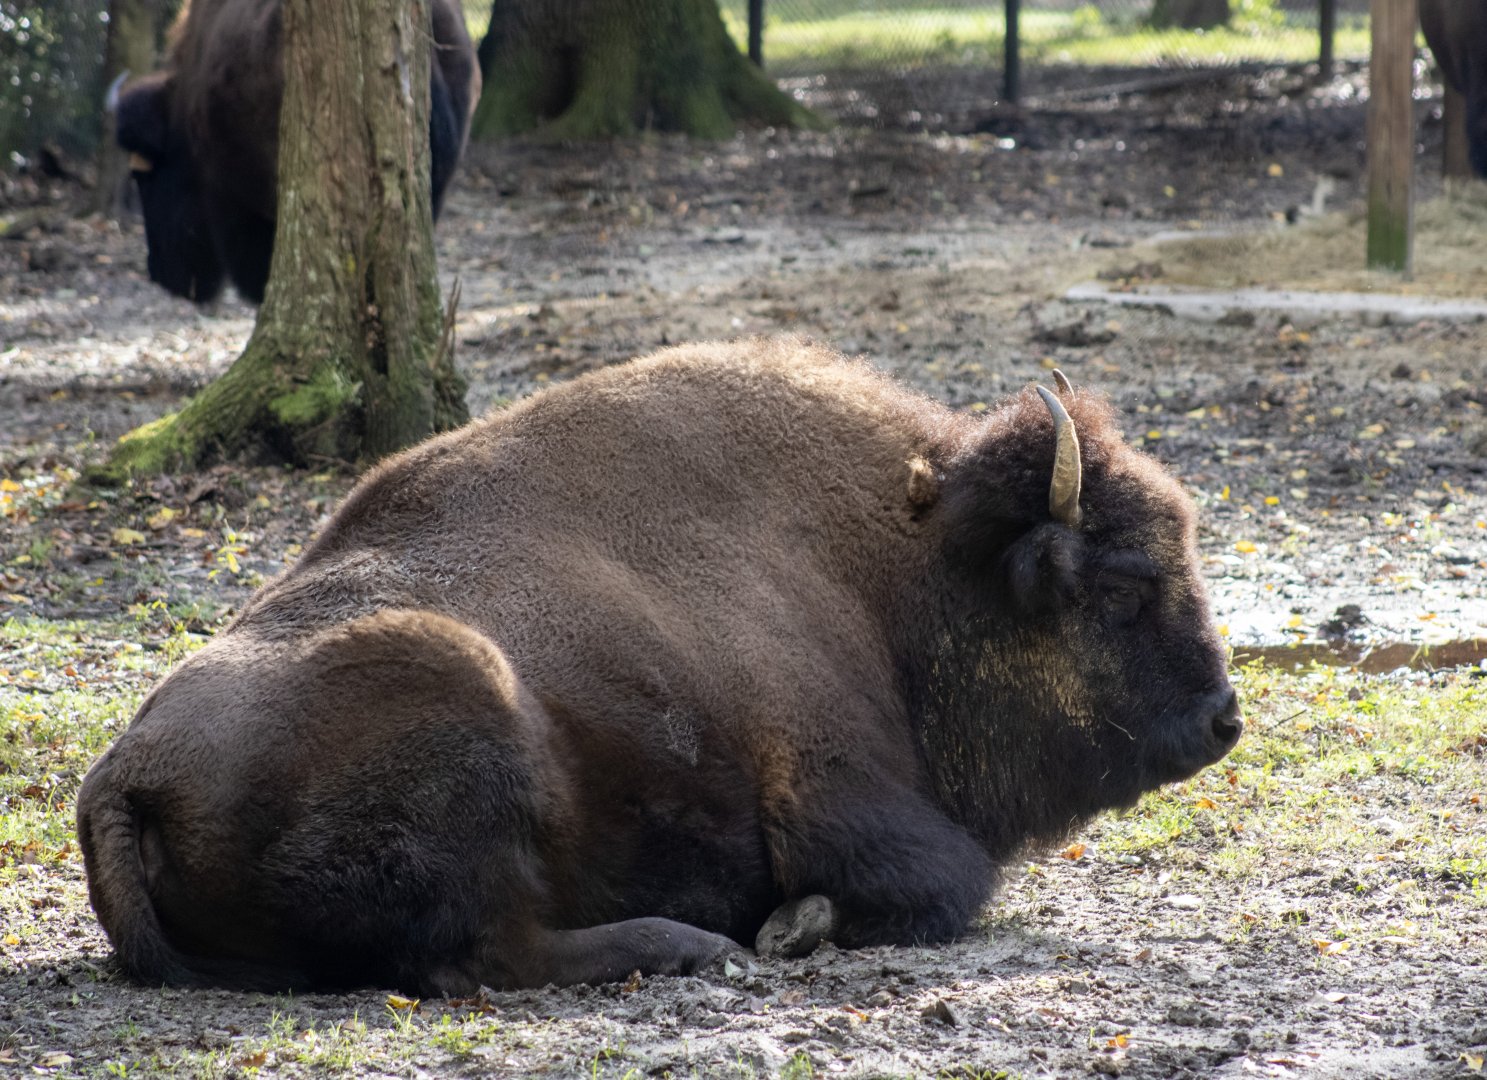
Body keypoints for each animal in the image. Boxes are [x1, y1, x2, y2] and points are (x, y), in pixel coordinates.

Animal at [77, 338, 1242, 994]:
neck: (899, 565)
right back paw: (696, 947)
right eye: (1123, 587)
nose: (1222, 720)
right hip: (457, 682)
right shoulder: (833, 797)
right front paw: (789, 927)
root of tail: (124, 775)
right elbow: (950, 880)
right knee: (486, 958)